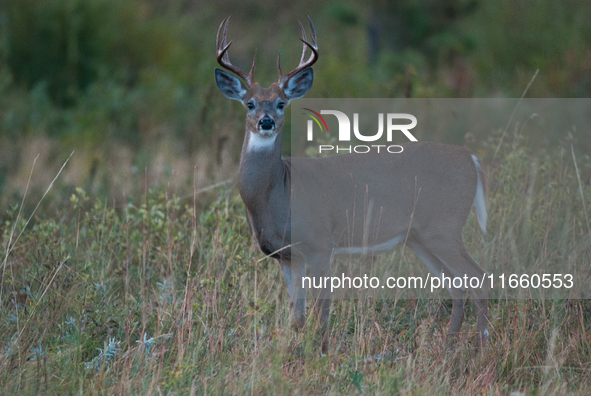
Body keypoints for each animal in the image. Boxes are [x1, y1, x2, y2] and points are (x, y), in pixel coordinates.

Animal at [215, 16, 488, 352]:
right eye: (250, 104)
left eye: (281, 103)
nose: (266, 122)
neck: (277, 192)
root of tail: (472, 159)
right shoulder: (286, 255)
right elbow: (296, 315)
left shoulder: (319, 243)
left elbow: (322, 309)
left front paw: (320, 351)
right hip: (420, 237)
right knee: (458, 285)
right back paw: (449, 345)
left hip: (444, 227)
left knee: (478, 279)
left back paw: (482, 347)